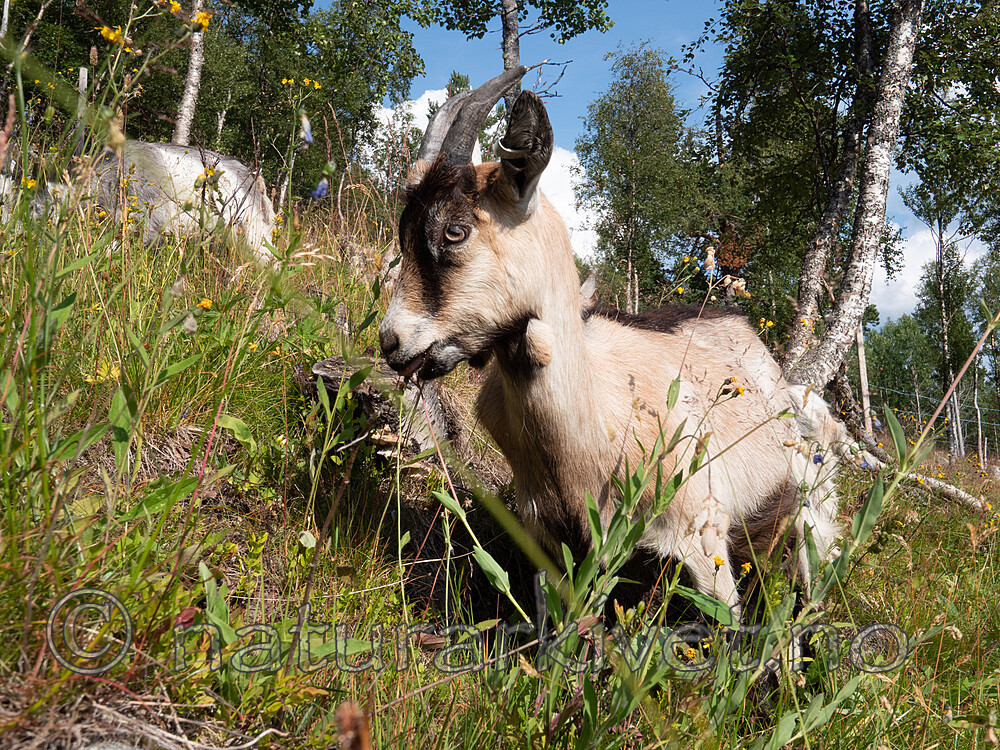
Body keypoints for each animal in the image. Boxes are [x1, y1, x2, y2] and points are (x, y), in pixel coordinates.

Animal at [378, 68, 848, 620]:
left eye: (455, 230)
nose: (391, 341)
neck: (587, 421)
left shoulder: (700, 534)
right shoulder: (549, 540)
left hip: (810, 513)